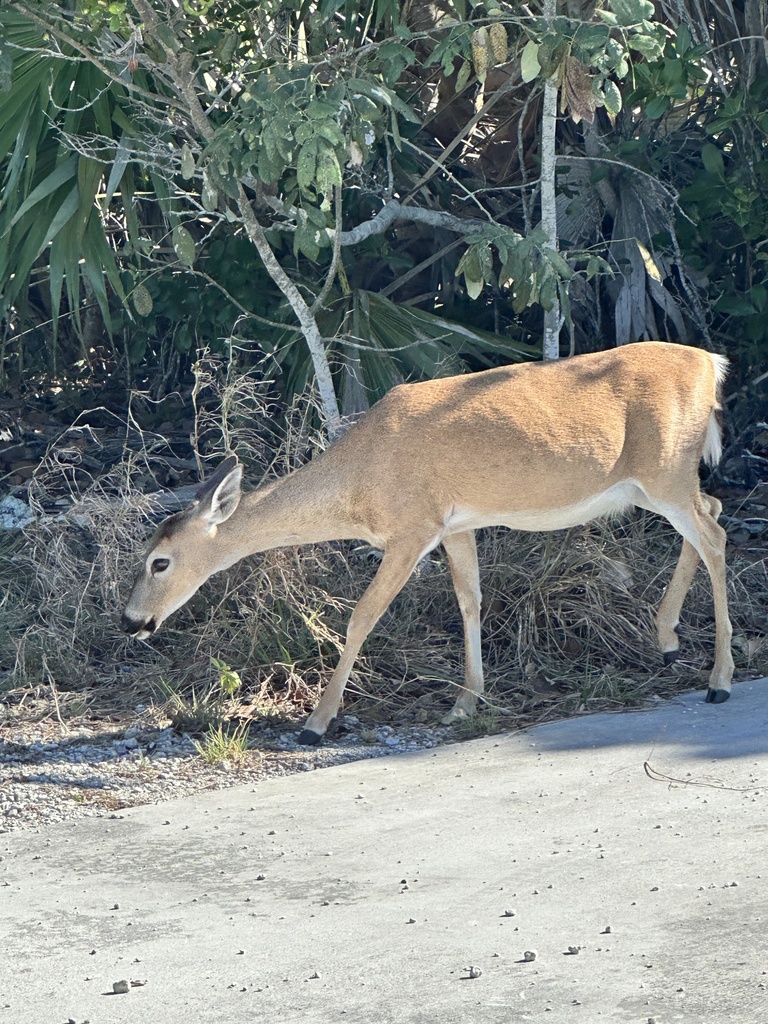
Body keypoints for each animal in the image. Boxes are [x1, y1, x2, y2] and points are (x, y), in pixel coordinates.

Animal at [122, 341, 734, 745]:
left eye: (159, 562)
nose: (131, 621)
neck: (359, 481)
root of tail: (711, 363)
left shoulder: (411, 527)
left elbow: (362, 615)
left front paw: (317, 723)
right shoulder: (456, 524)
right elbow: (469, 600)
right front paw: (465, 701)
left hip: (664, 469)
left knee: (715, 534)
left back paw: (719, 681)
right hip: (663, 481)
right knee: (715, 512)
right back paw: (667, 639)